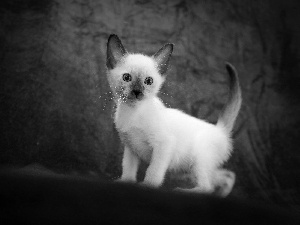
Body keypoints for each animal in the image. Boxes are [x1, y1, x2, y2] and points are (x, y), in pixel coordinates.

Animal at [105, 33, 241, 197]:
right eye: (127, 78)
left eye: (148, 81)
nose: (137, 92)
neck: (132, 111)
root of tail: (219, 129)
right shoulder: (131, 148)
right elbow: (128, 169)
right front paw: (125, 183)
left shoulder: (164, 145)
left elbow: (153, 172)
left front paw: (147, 187)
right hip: (190, 169)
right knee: (227, 176)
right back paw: (220, 195)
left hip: (198, 160)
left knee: (207, 187)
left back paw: (184, 191)